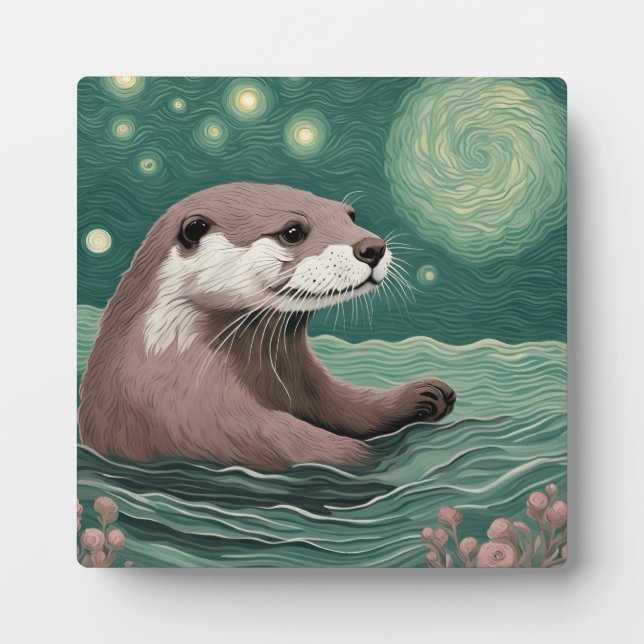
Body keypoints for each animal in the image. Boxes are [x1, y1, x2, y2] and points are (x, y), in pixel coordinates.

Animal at [79, 183, 455, 470]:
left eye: (350, 216)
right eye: (292, 232)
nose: (373, 246)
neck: (163, 356)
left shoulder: (304, 381)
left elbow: (344, 404)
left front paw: (422, 394)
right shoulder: (180, 411)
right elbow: (272, 438)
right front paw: (361, 457)